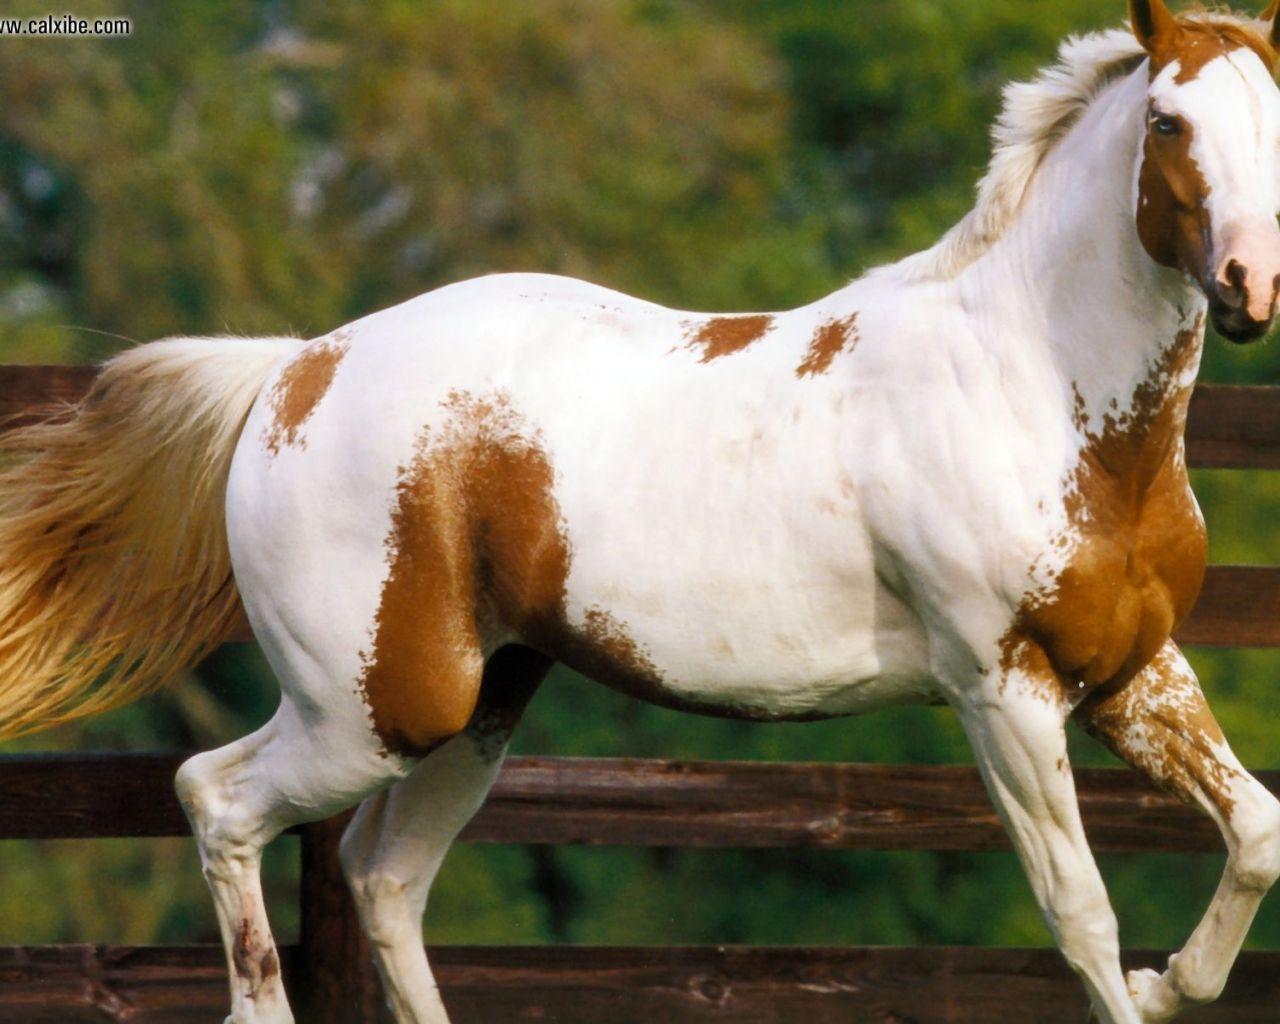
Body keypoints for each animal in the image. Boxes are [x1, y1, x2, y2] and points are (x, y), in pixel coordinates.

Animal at [0, 2, 1278, 1021]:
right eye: (1166, 122)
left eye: (1273, 115)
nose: (1247, 287)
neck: (1040, 390)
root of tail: (291, 370)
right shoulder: (999, 691)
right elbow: (1081, 917)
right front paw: (1146, 976)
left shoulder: (1128, 673)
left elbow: (1255, 832)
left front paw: (1179, 981)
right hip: (368, 711)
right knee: (216, 799)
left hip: (478, 705)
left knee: (383, 877)